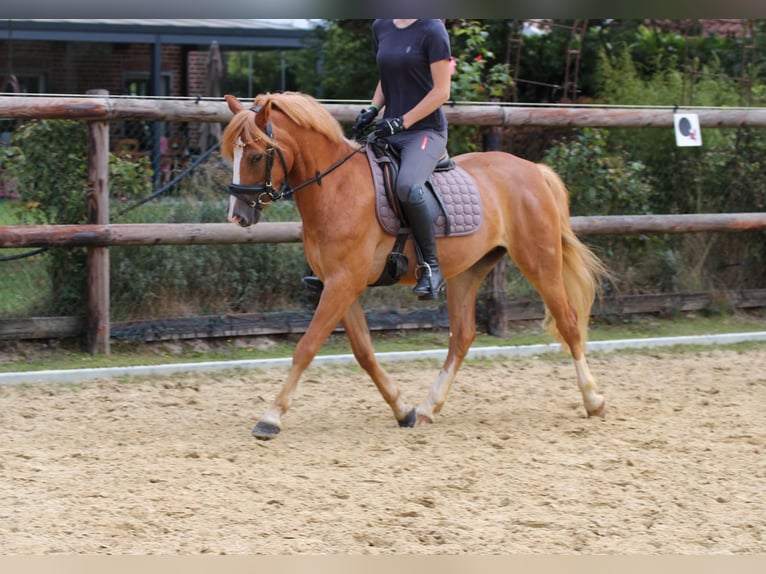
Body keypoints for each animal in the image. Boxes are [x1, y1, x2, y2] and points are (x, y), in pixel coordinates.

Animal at [221, 91, 609, 440]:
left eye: (256, 155)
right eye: (234, 155)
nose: (237, 217)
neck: (337, 188)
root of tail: (534, 170)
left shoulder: (343, 283)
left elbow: (307, 346)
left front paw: (270, 418)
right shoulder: (340, 284)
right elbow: (363, 352)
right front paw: (402, 409)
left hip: (539, 260)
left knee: (568, 321)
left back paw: (593, 401)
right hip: (468, 272)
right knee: (462, 337)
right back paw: (427, 408)